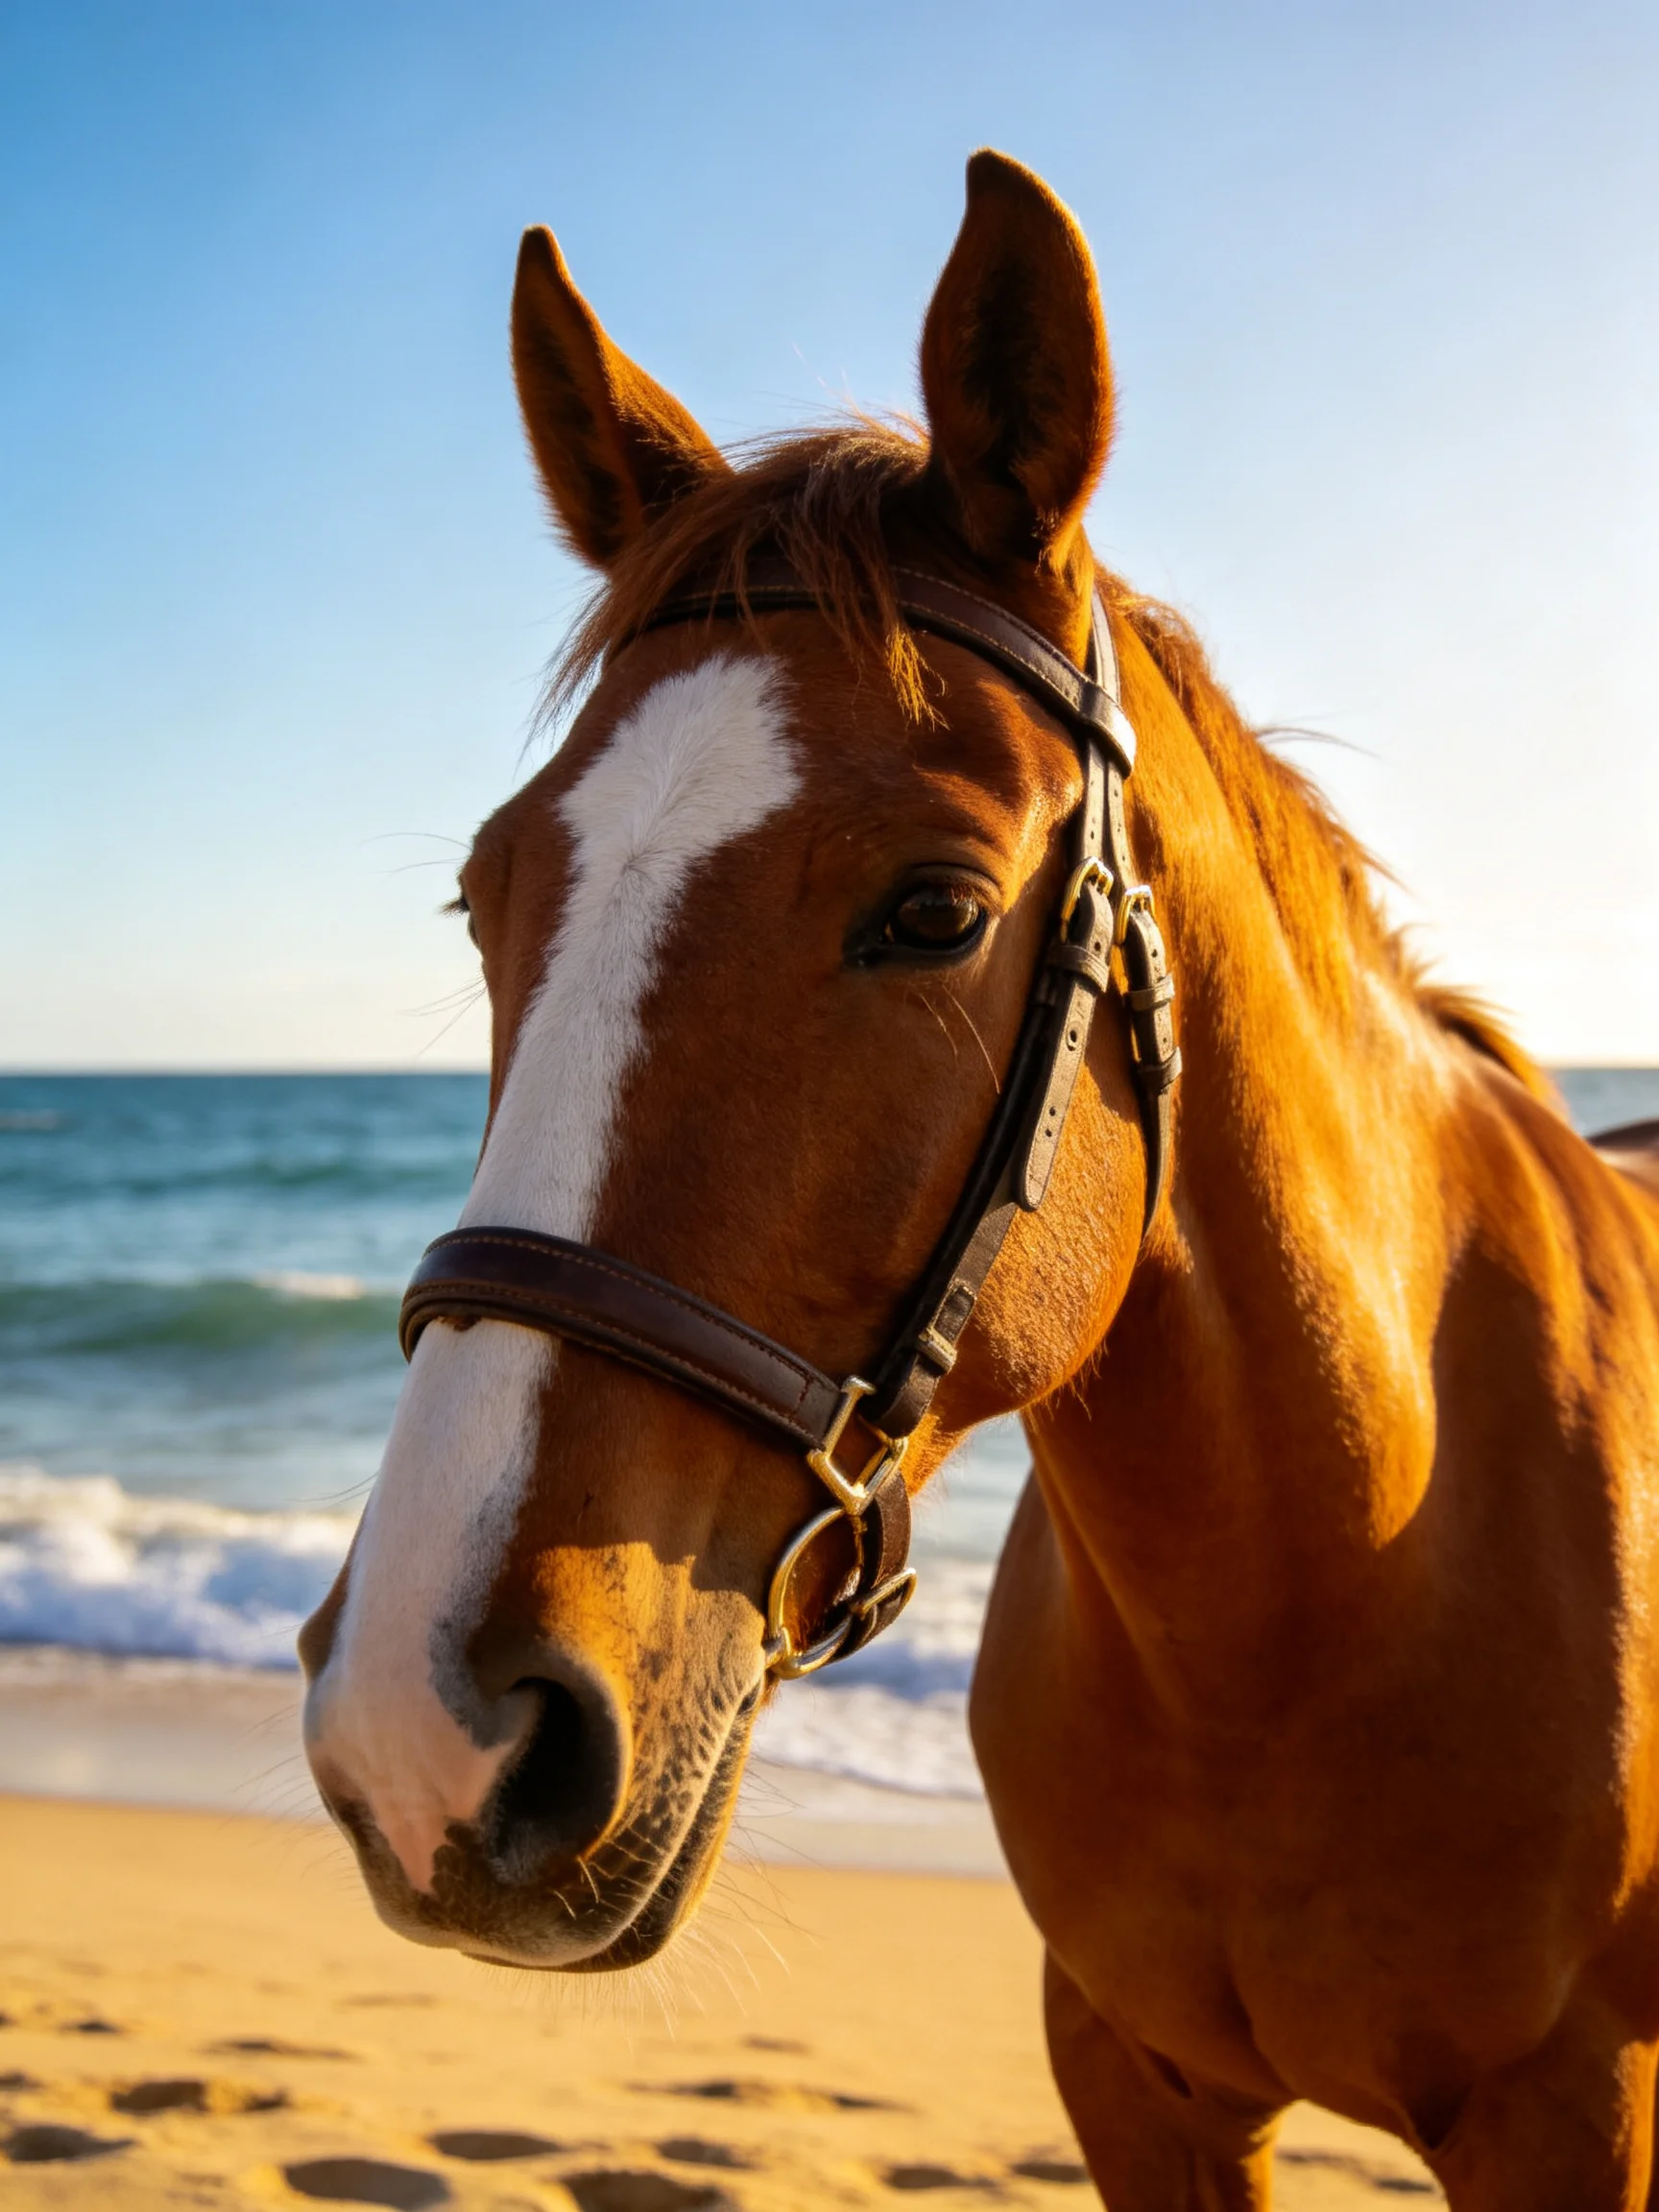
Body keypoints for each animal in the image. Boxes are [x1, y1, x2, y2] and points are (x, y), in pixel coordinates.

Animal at [299, 151, 1659, 2206]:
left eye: (935, 908)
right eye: (485, 894)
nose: (419, 1723)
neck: (1322, 1592)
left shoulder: (1571, 2117)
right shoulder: (1128, 2076)